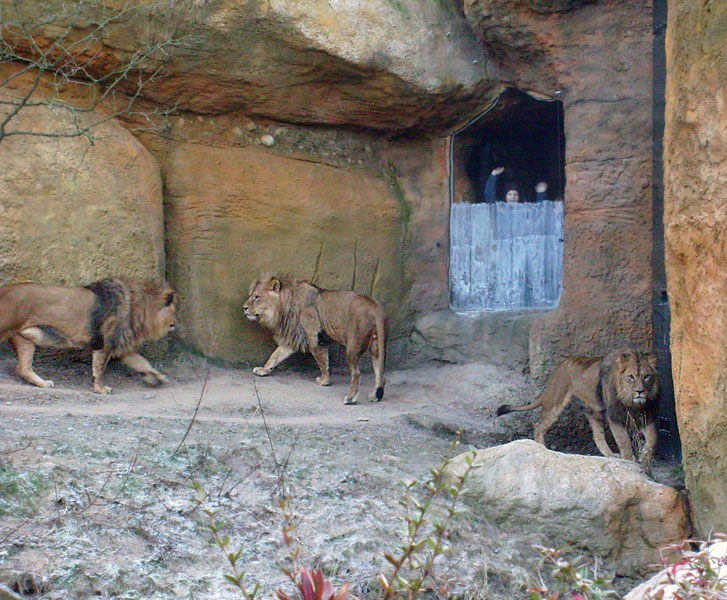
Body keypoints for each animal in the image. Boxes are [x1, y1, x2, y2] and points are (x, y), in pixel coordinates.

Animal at [0, 276, 178, 394]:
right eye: (174, 310)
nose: (176, 323)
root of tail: (3, 289)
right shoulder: (106, 343)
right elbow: (99, 369)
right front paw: (100, 389)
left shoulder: (120, 345)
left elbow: (142, 362)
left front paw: (158, 377)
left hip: (24, 339)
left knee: (23, 368)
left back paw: (43, 383)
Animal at [243, 274, 386, 406]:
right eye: (251, 295)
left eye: (257, 297)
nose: (244, 307)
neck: (286, 304)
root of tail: (375, 306)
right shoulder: (294, 338)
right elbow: (275, 356)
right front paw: (264, 370)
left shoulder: (315, 338)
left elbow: (323, 363)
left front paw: (324, 381)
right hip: (376, 347)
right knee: (380, 374)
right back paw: (375, 396)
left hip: (352, 346)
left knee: (356, 374)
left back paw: (350, 398)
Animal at [500, 350, 660, 466]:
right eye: (631, 376)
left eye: (647, 376)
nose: (640, 391)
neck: (632, 403)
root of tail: (560, 366)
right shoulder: (614, 418)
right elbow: (624, 442)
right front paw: (631, 462)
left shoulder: (647, 417)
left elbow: (653, 439)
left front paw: (644, 457)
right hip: (556, 403)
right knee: (538, 425)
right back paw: (542, 449)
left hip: (593, 411)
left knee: (597, 436)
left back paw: (610, 455)